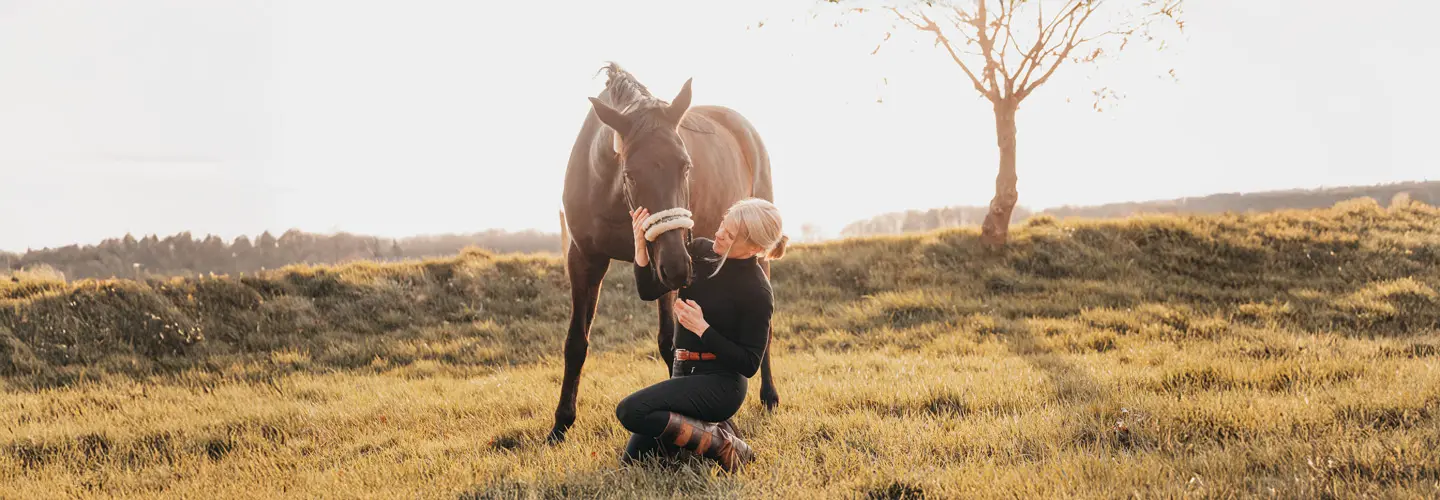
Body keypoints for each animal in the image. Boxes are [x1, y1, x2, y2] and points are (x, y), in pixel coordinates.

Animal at [548, 62, 779, 443]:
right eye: (630, 173)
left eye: (686, 165)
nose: (677, 268)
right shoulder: (585, 259)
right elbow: (576, 342)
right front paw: (561, 424)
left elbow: (670, 342)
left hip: (753, 256)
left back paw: (770, 395)